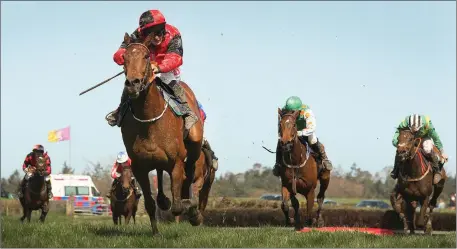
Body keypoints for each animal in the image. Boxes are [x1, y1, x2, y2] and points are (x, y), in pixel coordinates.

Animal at [117, 32, 203, 233]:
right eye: (124, 57)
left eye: (146, 56)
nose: (132, 84)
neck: (149, 119)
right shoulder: (139, 167)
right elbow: (149, 204)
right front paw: (155, 232)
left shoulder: (176, 162)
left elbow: (178, 206)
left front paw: (190, 208)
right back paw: (164, 200)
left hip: (195, 141)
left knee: (190, 172)